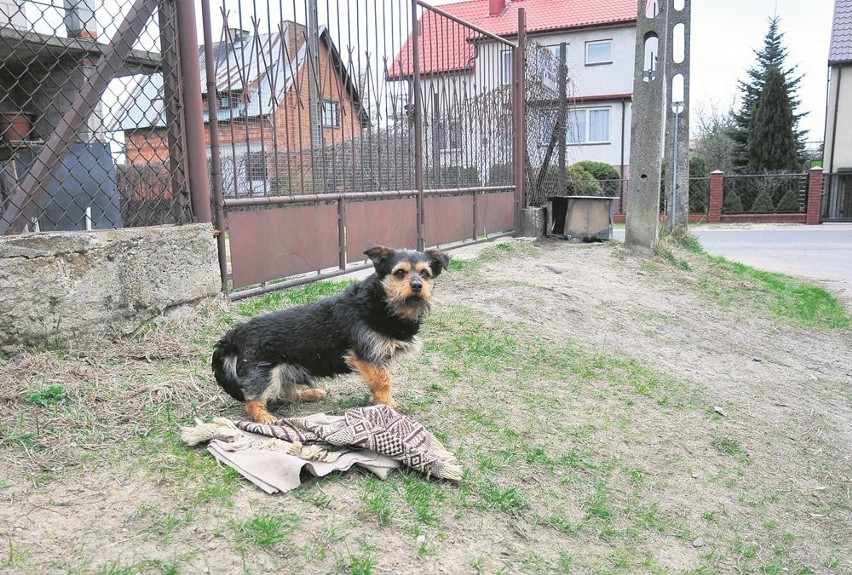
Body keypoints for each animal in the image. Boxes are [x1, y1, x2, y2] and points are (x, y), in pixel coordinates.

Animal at [211, 245, 452, 426]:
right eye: (400, 272)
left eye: (425, 274)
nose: (417, 285)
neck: (383, 303)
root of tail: (237, 332)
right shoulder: (365, 355)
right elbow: (383, 380)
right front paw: (388, 405)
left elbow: (381, 380)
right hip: (264, 373)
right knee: (252, 401)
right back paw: (264, 417)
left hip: (283, 370)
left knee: (281, 393)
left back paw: (310, 393)